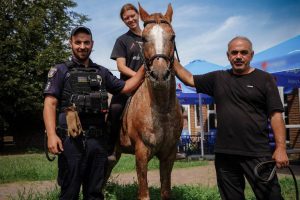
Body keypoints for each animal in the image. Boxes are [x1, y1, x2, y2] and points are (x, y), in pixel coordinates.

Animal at [106, 3, 184, 200]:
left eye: (172, 36)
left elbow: (166, 192)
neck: (161, 108)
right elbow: (144, 194)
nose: (160, 74)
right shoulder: (141, 154)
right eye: (143, 38)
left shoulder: (168, 155)